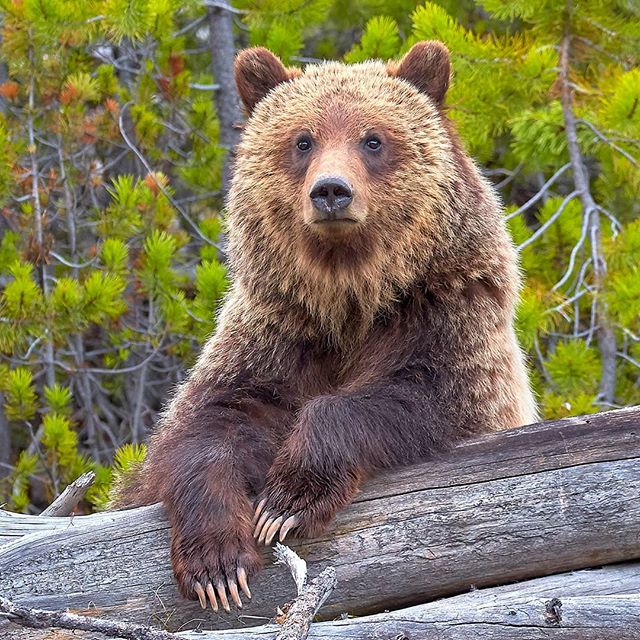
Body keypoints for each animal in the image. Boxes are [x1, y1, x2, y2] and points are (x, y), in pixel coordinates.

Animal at [114, 41, 538, 613]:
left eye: (373, 139)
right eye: (303, 140)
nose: (331, 191)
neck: (349, 296)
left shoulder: (445, 313)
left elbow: (422, 392)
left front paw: (288, 500)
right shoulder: (278, 329)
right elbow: (212, 418)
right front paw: (217, 567)